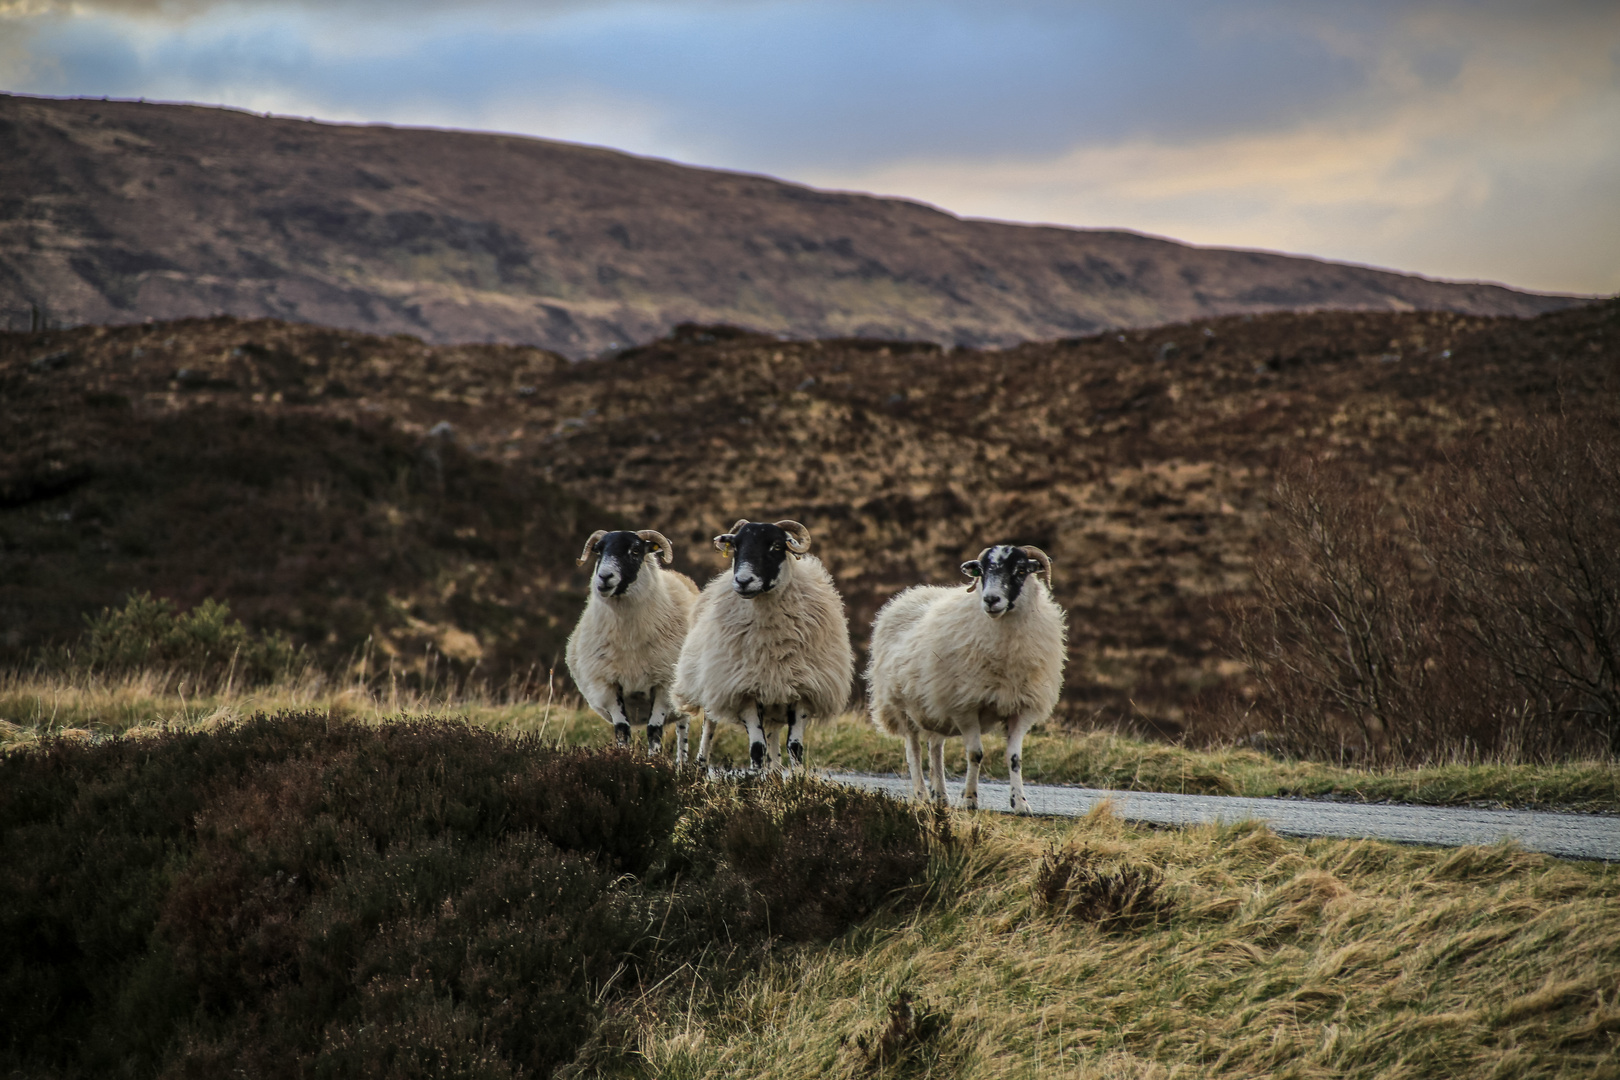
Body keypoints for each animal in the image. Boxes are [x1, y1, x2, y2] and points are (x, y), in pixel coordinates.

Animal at [563, 531, 696, 761]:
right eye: (599, 551)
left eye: (635, 550)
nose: (604, 577)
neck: (629, 639)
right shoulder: (608, 685)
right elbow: (622, 729)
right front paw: (623, 758)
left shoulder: (663, 685)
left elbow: (654, 729)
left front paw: (653, 762)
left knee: (683, 729)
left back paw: (683, 764)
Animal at [670, 518, 855, 773]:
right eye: (736, 546)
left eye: (776, 546)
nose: (743, 581)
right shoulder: (744, 690)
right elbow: (757, 748)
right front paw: (755, 779)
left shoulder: (801, 690)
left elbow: (794, 747)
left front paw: (798, 779)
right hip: (716, 682)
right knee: (710, 727)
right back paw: (701, 767)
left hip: (773, 698)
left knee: (773, 737)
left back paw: (774, 773)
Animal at [868, 550, 1069, 809]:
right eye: (980, 571)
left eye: (1021, 570)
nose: (991, 600)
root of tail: (908, 595)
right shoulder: (965, 705)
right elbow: (975, 754)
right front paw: (970, 800)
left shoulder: (1022, 707)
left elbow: (1015, 758)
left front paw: (1020, 803)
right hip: (902, 708)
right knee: (914, 751)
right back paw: (922, 795)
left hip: (934, 707)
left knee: (935, 748)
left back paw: (941, 796)